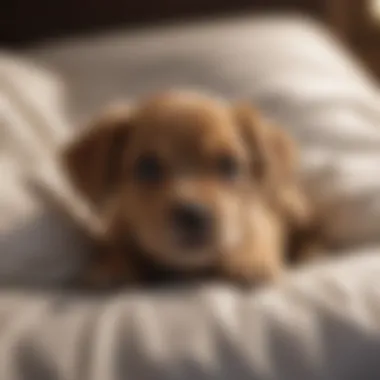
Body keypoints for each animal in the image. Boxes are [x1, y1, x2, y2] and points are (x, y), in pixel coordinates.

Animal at [60, 91, 314, 288]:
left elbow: (256, 232)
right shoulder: (117, 227)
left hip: (295, 207)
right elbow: (116, 245)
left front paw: (250, 260)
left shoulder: (258, 217)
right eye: (147, 168)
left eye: (229, 165)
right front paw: (109, 267)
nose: (193, 215)